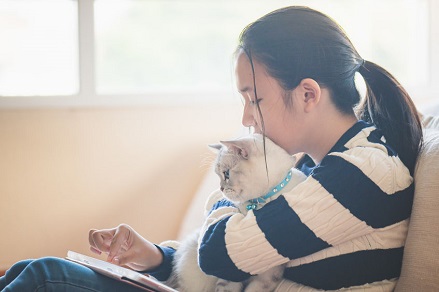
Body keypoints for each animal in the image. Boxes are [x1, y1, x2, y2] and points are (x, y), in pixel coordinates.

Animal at [170, 135, 308, 292]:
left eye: (226, 174)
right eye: (219, 175)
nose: (221, 188)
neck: (260, 200)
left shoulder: (268, 277)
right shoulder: (228, 275)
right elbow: (226, 288)